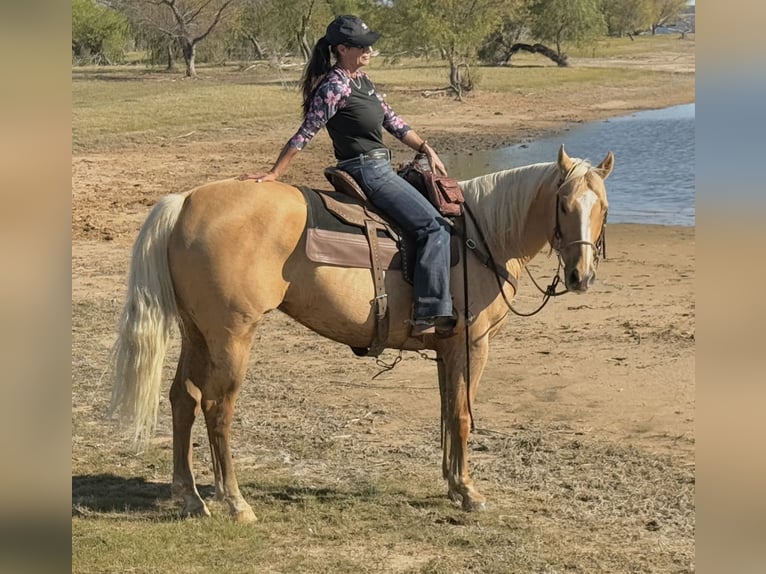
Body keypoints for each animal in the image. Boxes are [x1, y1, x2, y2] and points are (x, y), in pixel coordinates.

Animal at [109, 144, 613, 522]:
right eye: (564, 205)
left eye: (603, 208)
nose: (581, 276)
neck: (481, 234)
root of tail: (187, 201)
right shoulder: (473, 344)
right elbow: (464, 415)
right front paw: (470, 493)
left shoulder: (447, 348)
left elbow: (447, 413)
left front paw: (452, 484)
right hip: (232, 336)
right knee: (216, 408)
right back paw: (235, 502)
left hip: (197, 332)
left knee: (182, 398)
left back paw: (189, 495)